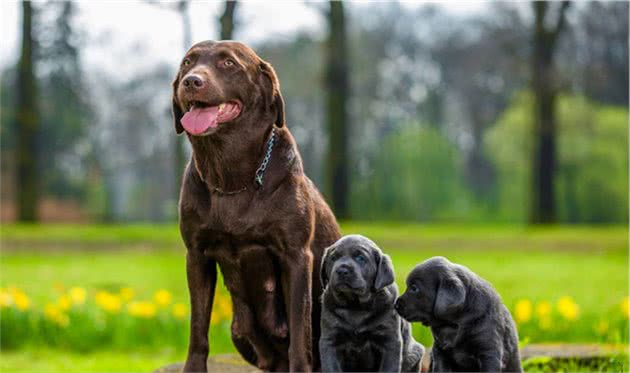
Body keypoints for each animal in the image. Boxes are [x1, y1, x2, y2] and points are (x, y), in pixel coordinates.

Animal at [172, 39, 340, 370]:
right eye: (187, 63)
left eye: (228, 63)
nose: (192, 81)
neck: (232, 177)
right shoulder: (196, 254)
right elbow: (198, 330)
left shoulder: (295, 256)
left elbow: (299, 334)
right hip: (239, 331)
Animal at [320, 234, 424, 370]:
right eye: (333, 258)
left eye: (360, 258)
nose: (342, 270)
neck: (355, 306)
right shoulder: (329, 341)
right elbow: (331, 367)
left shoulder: (390, 342)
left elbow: (389, 368)